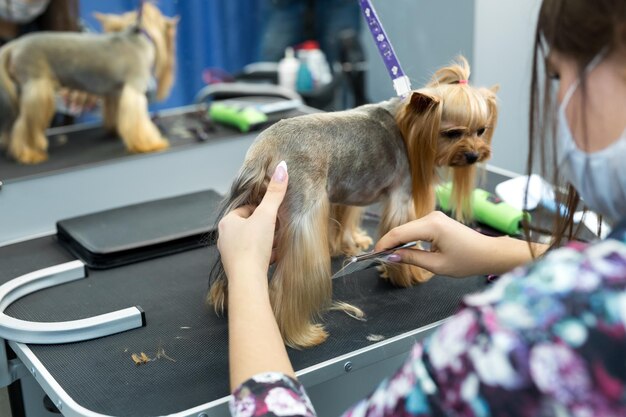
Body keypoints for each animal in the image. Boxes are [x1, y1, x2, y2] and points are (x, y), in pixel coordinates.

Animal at [0, 2, 178, 163]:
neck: (137, 36)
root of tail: (14, 45)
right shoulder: (134, 88)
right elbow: (138, 120)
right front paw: (150, 144)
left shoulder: (116, 91)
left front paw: (115, 130)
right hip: (37, 86)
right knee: (25, 125)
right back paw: (29, 153)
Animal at [210, 56, 498, 348]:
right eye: (452, 133)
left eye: (481, 130)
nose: (474, 155)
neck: (407, 124)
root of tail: (263, 152)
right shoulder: (401, 194)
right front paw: (410, 275)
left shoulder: (347, 189)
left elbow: (345, 220)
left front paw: (352, 243)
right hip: (304, 209)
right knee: (288, 283)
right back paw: (303, 334)